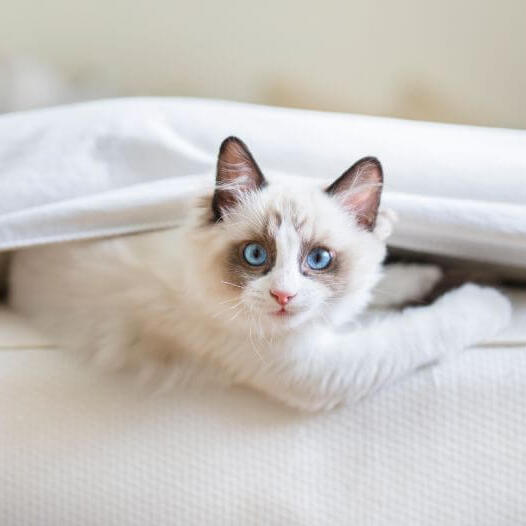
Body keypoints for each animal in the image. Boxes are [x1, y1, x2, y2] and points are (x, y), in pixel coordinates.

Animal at [7, 137, 512, 412]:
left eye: (319, 260)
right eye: (255, 255)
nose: (284, 296)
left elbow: (383, 286)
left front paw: (426, 273)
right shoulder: (321, 370)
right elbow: (427, 328)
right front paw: (492, 298)